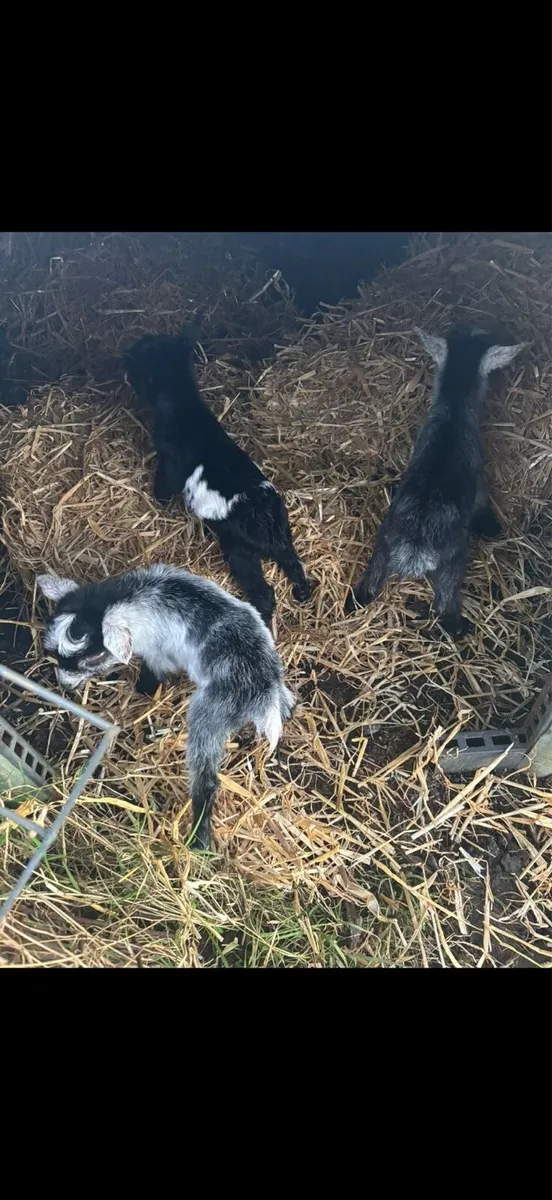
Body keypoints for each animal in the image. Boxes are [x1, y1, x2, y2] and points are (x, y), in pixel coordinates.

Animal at [37, 565, 296, 850]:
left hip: (208, 714)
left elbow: (154, 673)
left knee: (206, 780)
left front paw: (142, 690)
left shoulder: (157, 653)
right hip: (276, 688)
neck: (133, 598)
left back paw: (199, 840)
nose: (64, 685)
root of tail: (263, 688)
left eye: (94, 657)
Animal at [123, 331, 314, 624]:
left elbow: (165, 484)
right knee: (295, 565)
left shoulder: (170, 463)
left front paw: (158, 503)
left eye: (141, 363)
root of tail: (265, 517)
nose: (124, 363)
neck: (185, 408)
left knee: (264, 592)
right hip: (284, 538)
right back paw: (301, 593)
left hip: (239, 551)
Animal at [346, 326, 526, 638]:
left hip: (381, 547)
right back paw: (459, 628)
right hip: (453, 560)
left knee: (367, 587)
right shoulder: (478, 479)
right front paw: (491, 526)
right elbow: (482, 502)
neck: (453, 412)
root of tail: (414, 550)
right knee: (445, 603)